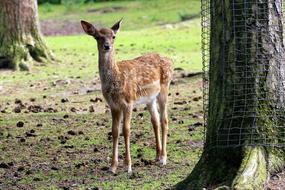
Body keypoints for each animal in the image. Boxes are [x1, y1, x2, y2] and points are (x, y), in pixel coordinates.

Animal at [80, 19, 173, 174]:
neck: (116, 79)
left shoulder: (128, 102)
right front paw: (112, 167)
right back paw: (157, 155)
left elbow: (126, 130)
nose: (107, 46)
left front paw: (128, 165)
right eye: (98, 37)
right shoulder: (113, 105)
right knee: (155, 120)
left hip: (165, 88)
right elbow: (114, 131)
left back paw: (164, 159)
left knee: (164, 120)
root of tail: (171, 61)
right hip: (150, 98)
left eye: (113, 36)